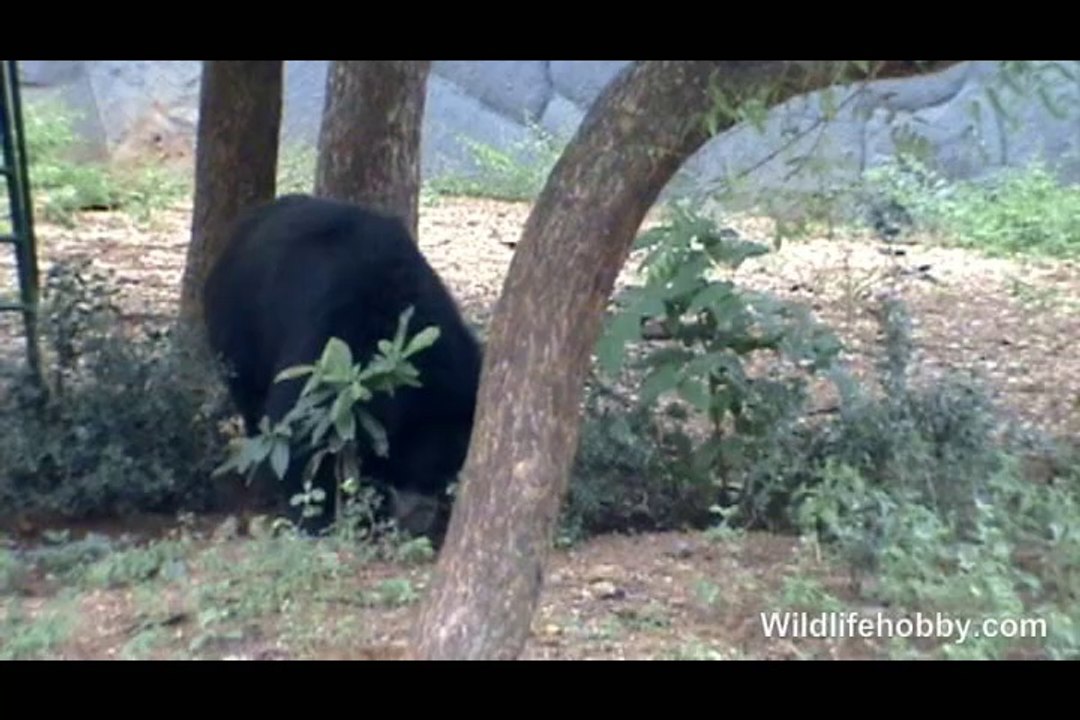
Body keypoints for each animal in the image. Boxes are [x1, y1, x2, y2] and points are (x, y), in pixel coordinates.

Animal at [202, 194, 483, 543]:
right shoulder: (327, 345)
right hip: (238, 332)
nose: (428, 515)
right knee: (253, 403)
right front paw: (318, 517)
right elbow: (297, 425)